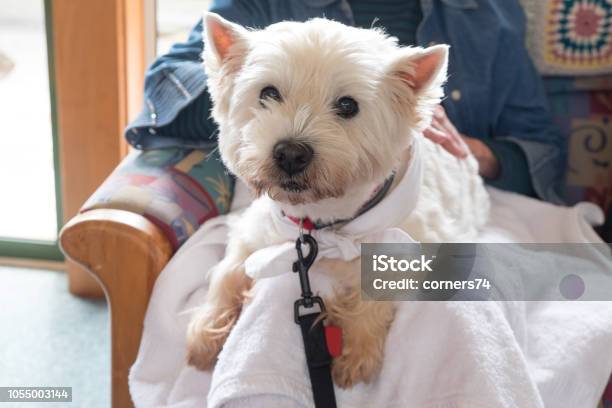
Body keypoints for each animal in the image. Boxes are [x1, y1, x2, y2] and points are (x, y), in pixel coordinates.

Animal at [186, 12, 488, 388]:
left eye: (348, 105)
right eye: (268, 92)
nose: (290, 154)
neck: (322, 224)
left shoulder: (417, 243)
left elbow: (376, 290)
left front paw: (355, 356)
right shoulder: (256, 230)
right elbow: (228, 271)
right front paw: (205, 332)